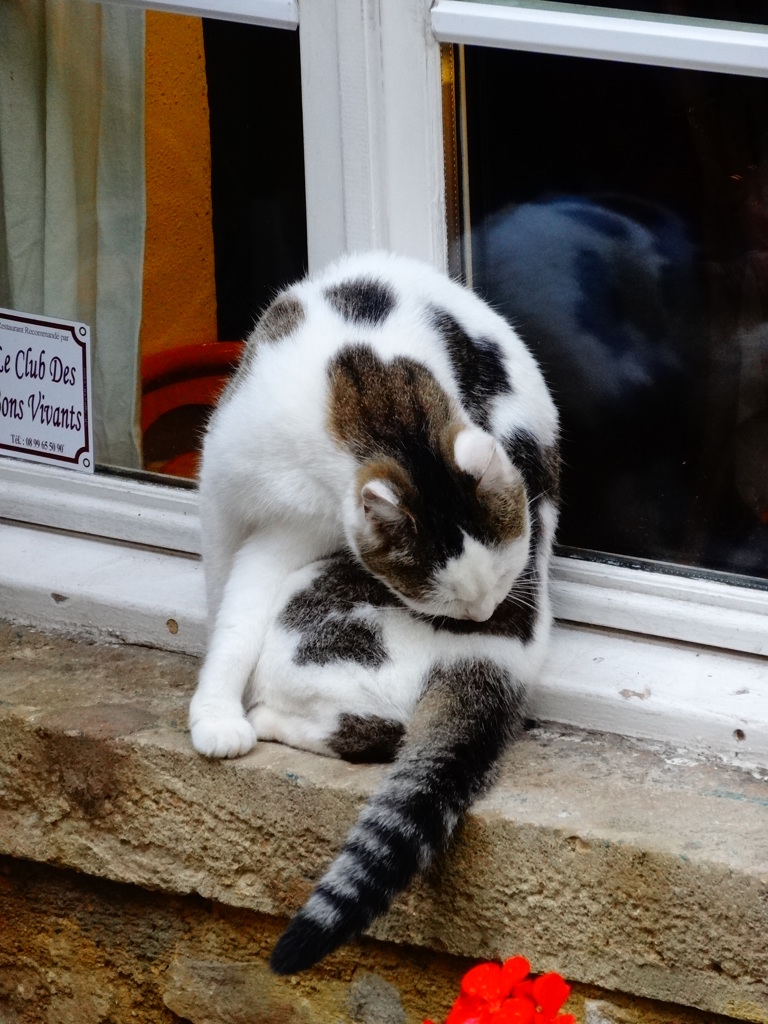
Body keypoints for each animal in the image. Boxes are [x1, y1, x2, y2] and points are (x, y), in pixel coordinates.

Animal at [186, 251, 561, 970]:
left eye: (499, 582)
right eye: (440, 598)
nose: (480, 618)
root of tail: (498, 656)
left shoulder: (289, 533)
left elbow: (238, 614)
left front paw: (220, 716)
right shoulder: (233, 492)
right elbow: (224, 602)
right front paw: (214, 706)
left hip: (314, 628)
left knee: (367, 727)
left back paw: (265, 717)